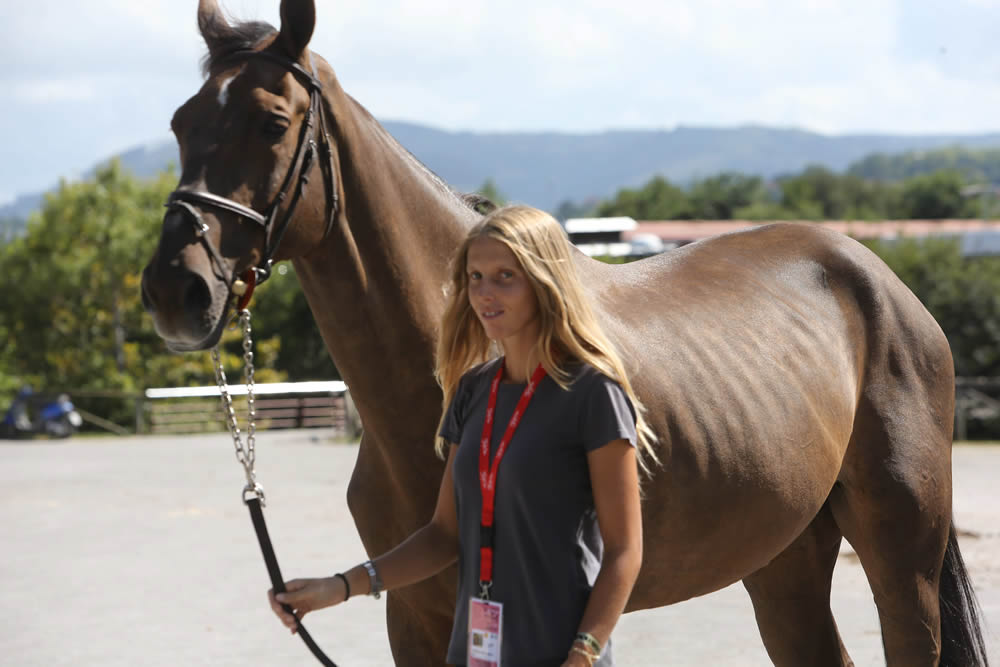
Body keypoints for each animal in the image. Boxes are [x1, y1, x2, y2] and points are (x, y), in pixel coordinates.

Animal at [141, 2, 992, 664]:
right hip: (784, 555)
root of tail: (882, 282)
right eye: (182, 121)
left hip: (902, 557)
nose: (175, 288)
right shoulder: (414, 615)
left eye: (271, 120)